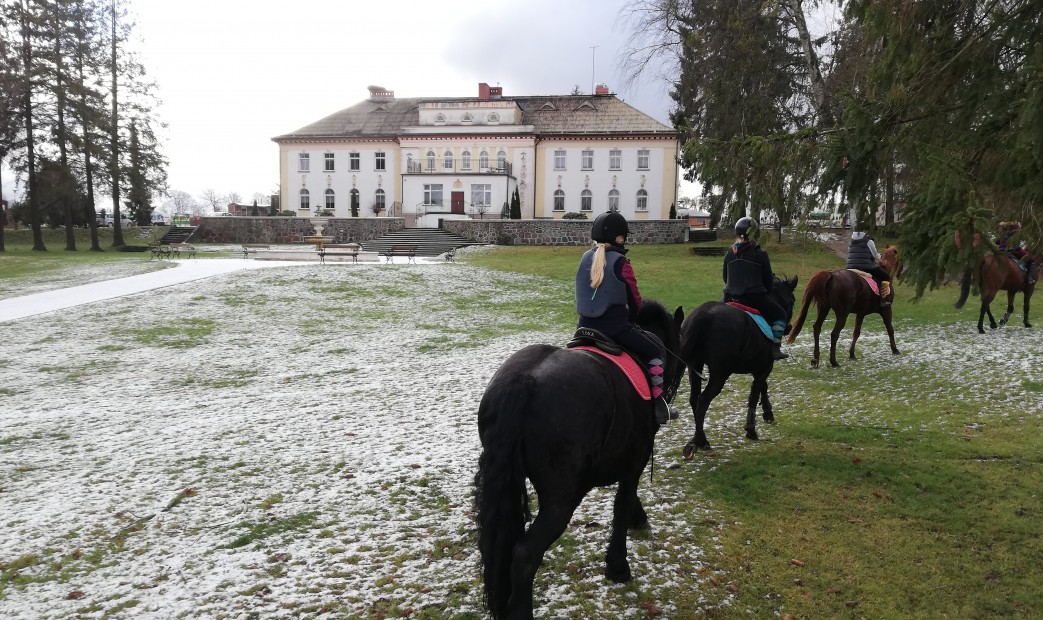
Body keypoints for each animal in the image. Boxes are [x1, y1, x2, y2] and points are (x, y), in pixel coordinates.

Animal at [473, 298, 684, 617]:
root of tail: (525, 380)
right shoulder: (636, 459)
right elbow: (622, 505)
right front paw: (618, 565)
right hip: (562, 497)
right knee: (524, 554)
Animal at [675, 273, 796, 452]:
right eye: (792, 300)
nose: (789, 327)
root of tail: (704, 314)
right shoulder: (765, 366)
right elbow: (755, 393)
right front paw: (751, 429)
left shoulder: (758, 366)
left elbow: (763, 386)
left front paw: (767, 412)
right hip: (720, 373)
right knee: (703, 400)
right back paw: (702, 440)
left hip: (695, 365)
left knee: (694, 399)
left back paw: (699, 438)